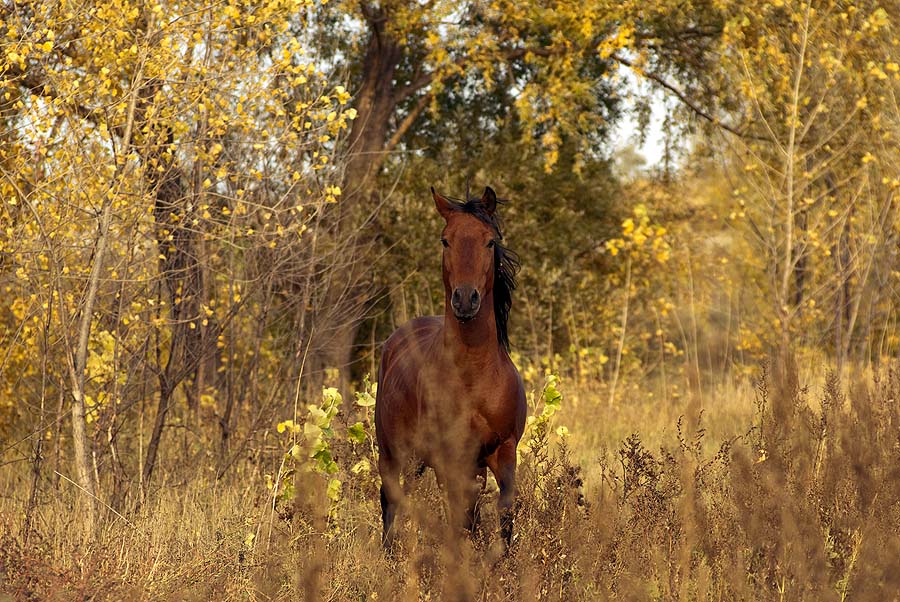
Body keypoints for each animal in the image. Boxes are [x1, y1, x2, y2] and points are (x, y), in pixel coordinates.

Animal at [374, 185, 528, 552]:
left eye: (489, 241)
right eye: (446, 240)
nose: (465, 299)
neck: (473, 375)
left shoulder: (502, 452)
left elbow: (502, 512)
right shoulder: (450, 458)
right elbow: (459, 519)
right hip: (393, 454)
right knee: (391, 500)